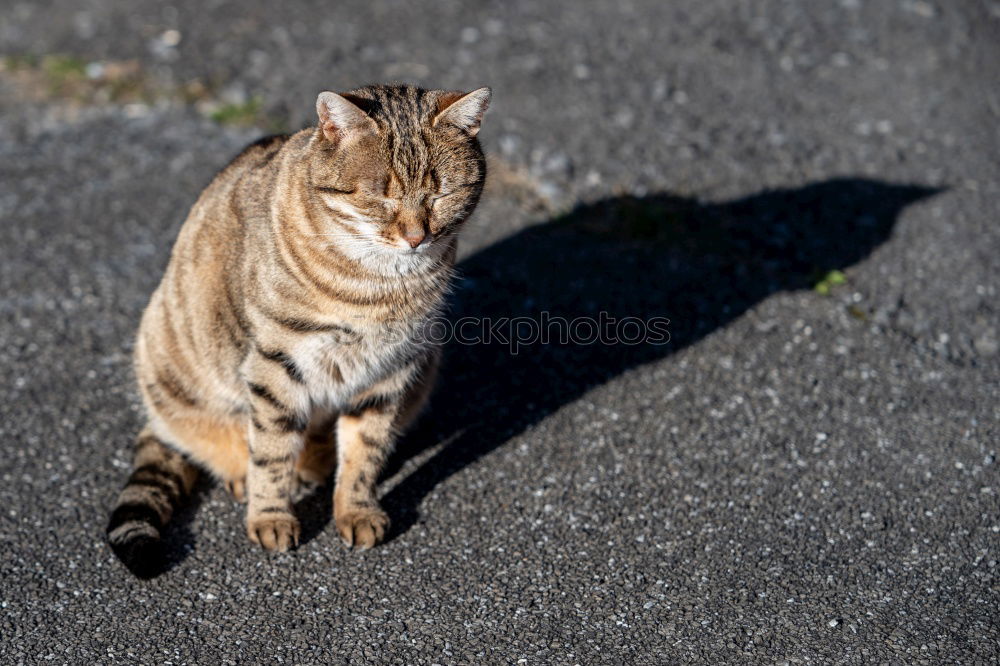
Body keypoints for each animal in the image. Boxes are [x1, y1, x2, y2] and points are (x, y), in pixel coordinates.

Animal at [105, 84, 488, 572]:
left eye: (441, 195)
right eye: (381, 197)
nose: (416, 237)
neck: (380, 285)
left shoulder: (391, 369)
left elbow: (365, 452)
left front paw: (356, 509)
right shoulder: (276, 364)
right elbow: (271, 452)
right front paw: (270, 516)